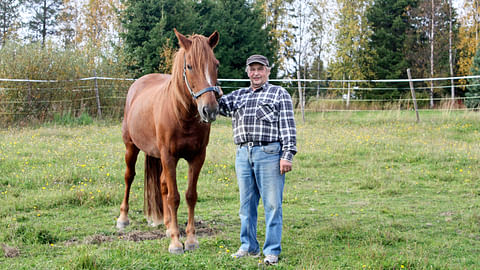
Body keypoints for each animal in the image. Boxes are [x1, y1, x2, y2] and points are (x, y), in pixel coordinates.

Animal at [117, 30, 222, 255]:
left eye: (216, 64)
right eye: (189, 65)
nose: (210, 110)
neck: (182, 115)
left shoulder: (197, 157)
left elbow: (190, 195)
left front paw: (190, 239)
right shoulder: (169, 157)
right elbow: (174, 197)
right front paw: (175, 242)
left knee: (163, 184)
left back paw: (166, 224)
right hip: (131, 147)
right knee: (129, 177)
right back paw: (123, 218)